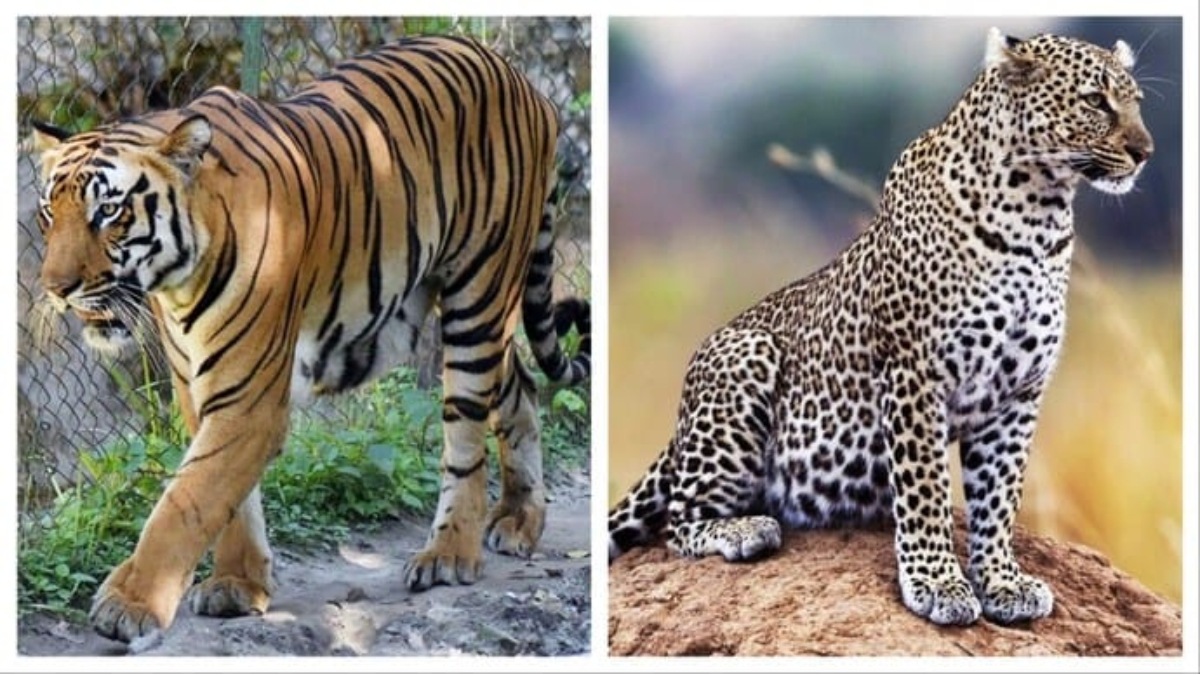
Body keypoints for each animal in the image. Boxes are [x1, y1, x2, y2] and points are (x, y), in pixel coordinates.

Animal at [28, 34, 591, 646]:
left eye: (108, 211)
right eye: (48, 213)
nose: (56, 289)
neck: (178, 281)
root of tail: (523, 80)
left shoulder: (249, 395)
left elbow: (186, 500)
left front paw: (129, 603)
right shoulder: (199, 386)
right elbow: (227, 496)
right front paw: (238, 584)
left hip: (479, 291)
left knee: (465, 439)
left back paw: (448, 554)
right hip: (471, 309)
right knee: (520, 387)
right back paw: (519, 518)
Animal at [607, 27, 1153, 626]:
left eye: (1136, 103)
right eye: (1094, 101)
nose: (1145, 152)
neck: (1040, 215)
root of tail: (677, 429)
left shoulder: (1019, 394)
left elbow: (999, 496)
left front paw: (1002, 582)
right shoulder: (916, 375)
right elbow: (926, 489)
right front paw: (938, 584)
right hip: (744, 356)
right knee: (679, 523)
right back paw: (745, 530)